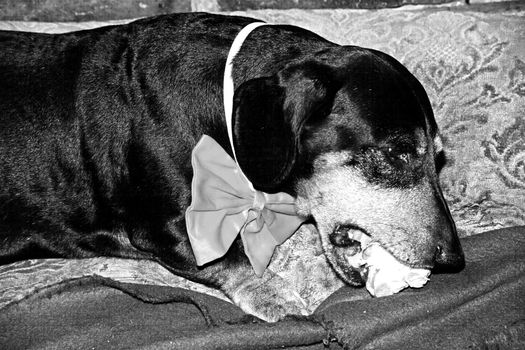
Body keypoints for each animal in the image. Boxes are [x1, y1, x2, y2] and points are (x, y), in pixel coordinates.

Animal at [0, 13, 462, 320]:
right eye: (397, 152)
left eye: (438, 158)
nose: (453, 260)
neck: (223, 99)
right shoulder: (167, 228)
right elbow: (229, 258)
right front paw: (275, 294)